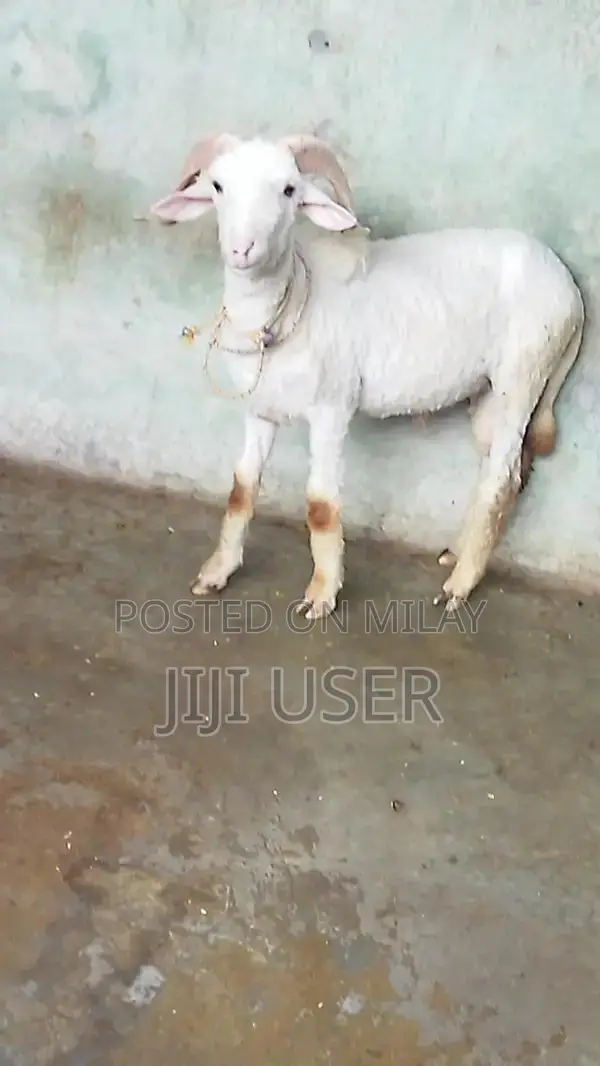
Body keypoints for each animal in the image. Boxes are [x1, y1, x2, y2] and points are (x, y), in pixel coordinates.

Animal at [149, 132, 585, 617]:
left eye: (288, 189)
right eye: (218, 186)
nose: (242, 250)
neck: (294, 300)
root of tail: (570, 288)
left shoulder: (331, 408)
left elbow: (321, 504)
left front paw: (322, 594)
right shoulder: (259, 411)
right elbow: (241, 490)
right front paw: (217, 572)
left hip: (523, 376)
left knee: (501, 478)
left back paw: (460, 584)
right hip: (490, 395)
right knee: (507, 471)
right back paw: (458, 552)